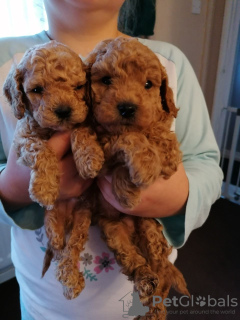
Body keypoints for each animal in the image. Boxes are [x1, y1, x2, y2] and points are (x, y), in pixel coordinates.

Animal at [3, 40, 103, 300]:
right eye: (37, 89)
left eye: (78, 86)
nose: (64, 111)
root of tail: (67, 219)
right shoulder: (23, 139)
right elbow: (41, 149)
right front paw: (44, 189)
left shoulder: (83, 120)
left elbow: (80, 130)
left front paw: (89, 158)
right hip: (52, 222)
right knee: (58, 249)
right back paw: (66, 277)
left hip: (83, 217)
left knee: (73, 247)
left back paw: (71, 278)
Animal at [86, 37, 189, 318]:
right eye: (106, 80)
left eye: (148, 85)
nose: (127, 108)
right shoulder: (101, 145)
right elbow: (125, 137)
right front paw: (131, 180)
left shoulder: (169, 154)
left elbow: (151, 139)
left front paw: (141, 169)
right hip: (113, 230)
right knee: (134, 261)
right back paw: (144, 280)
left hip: (150, 227)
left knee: (162, 270)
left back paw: (156, 307)